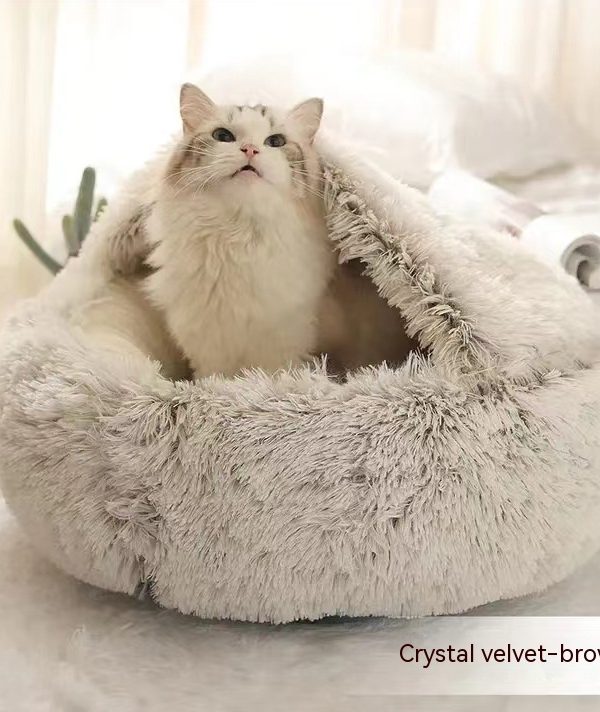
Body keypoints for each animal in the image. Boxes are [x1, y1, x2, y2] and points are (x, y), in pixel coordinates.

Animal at [144, 83, 334, 378]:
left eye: (276, 141)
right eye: (223, 136)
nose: (250, 150)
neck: (239, 235)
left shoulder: (284, 348)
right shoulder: (209, 351)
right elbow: (215, 382)